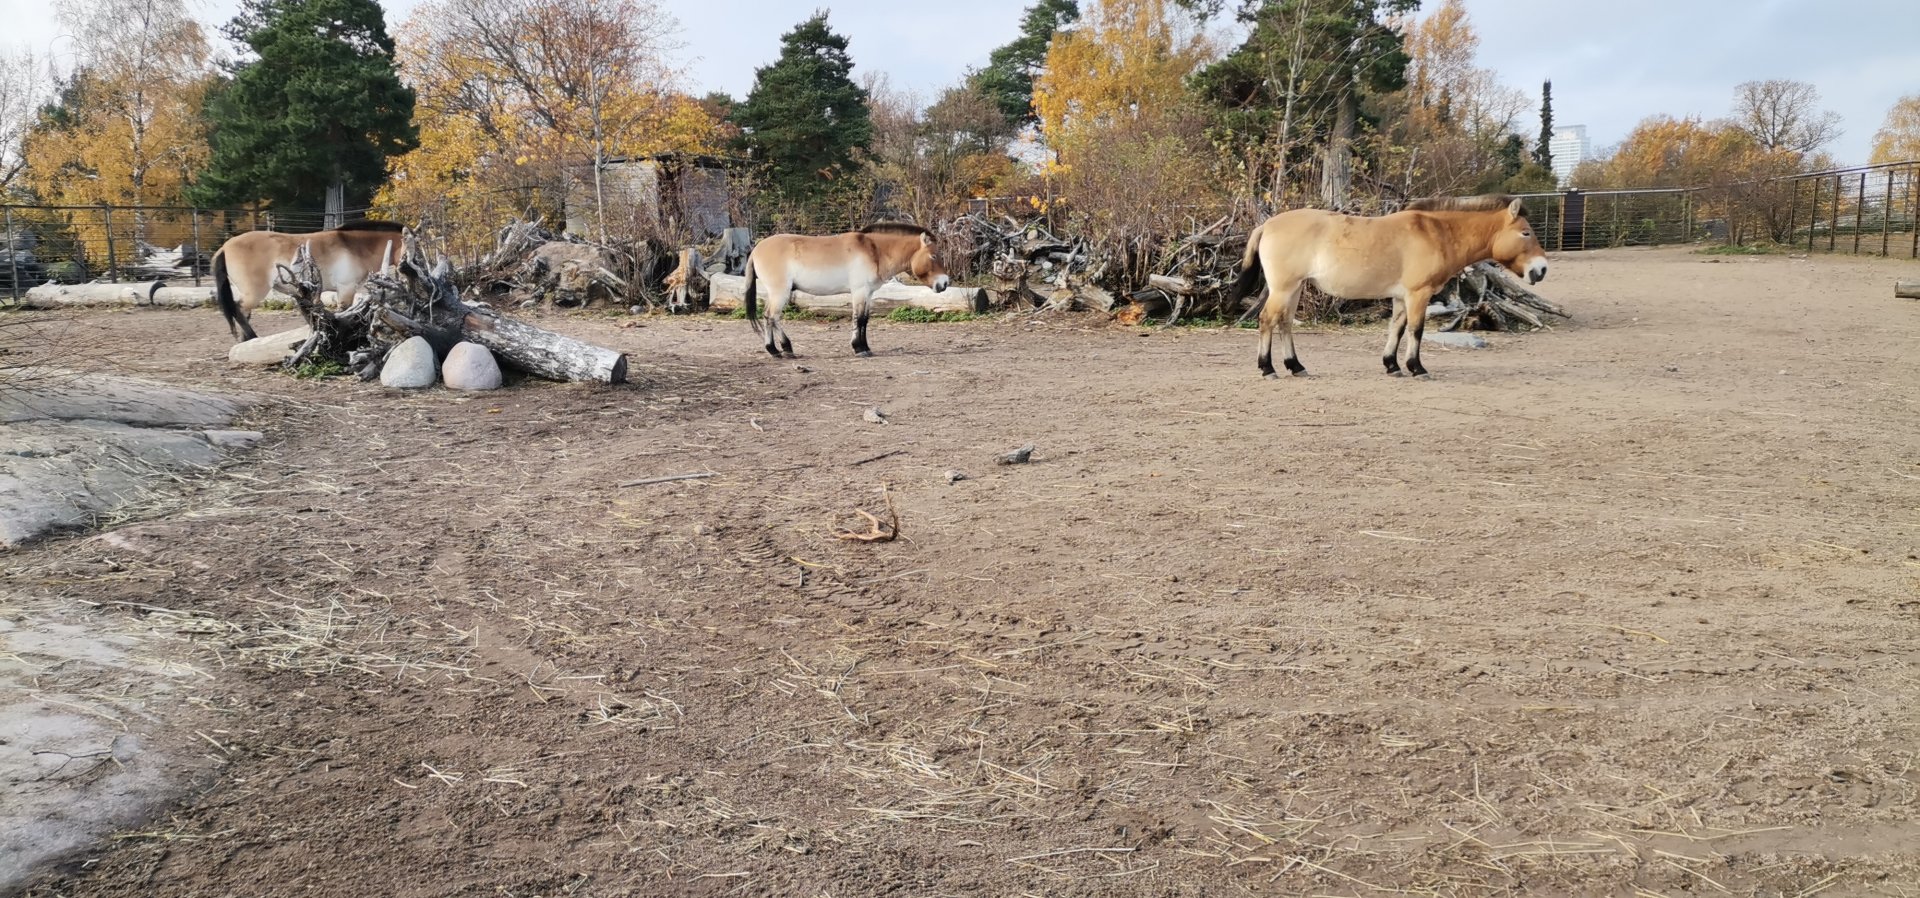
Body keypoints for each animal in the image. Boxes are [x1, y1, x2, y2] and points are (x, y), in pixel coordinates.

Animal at [212, 221, 407, 341]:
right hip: (254, 293)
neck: (353, 247)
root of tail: (224, 247)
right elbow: (345, 313)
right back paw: (252, 338)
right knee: (238, 309)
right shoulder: (346, 289)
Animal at [742, 222, 950, 358]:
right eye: (933, 256)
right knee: (771, 316)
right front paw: (859, 348)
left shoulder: (868, 293)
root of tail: (756, 250)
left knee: (769, 317)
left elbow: (865, 320)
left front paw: (865, 347)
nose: (945, 283)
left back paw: (777, 350)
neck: (874, 251)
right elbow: (858, 319)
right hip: (780, 292)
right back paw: (782, 349)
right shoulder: (859, 291)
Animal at [1225, 195, 1548, 379]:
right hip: (1283, 288)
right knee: (1267, 320)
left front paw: (1392, 365)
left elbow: (1397, 328)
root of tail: (1267, 225)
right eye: (1526, 232)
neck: (1435, 232)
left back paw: (1295, 366)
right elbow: (1416, 330)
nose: (1541, 269)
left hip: (1293, 289)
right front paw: (1416, 368)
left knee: (1284, 324)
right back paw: (1267, 368)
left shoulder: (1402, 297)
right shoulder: (1418, 294)